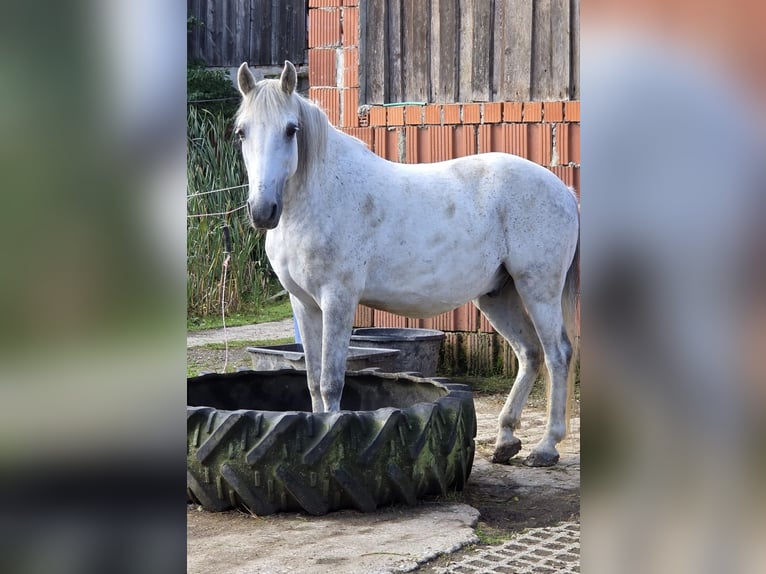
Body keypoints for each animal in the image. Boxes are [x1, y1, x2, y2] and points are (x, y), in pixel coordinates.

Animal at [234, 61, 579, 467]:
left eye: (291, 129)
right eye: (242, 132)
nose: (263, 211)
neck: (320, 195)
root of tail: (563, 190)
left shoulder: (338, 301)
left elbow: (331, 381)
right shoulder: (304, 304)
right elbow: (313, 381)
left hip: (538, 290)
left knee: (557, 355)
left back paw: (546, 446)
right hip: (497, 295)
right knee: (530, 353)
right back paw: (506, 440)